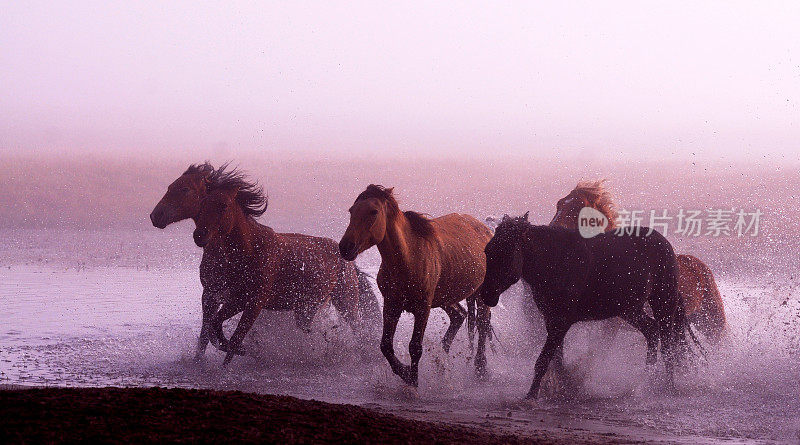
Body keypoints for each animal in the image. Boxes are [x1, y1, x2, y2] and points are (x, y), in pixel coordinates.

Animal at [153, 164, 384, 364]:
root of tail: (346, 259)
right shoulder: (220, 296)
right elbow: (210, 332)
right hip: (305, 308)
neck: (247, 249)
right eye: (202, 205)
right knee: (310, 329)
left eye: (184, 189)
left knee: (358, 330)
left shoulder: (252, 302)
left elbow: (230, 336)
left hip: (346, 303)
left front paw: (232, 359)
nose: (156, 216)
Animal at [338, 184, 494, 386]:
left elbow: (415, 347)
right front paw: (404, 372)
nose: (345, 247)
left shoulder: (422, 308)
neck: (409, 257)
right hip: (445, 297)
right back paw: (441, 362)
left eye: (373, 211)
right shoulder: (391, 305)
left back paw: (480, 368)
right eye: (351, 210)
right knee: (459, 316)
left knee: (482, 324)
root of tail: (486, 230)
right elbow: (385, 345)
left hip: (480, 294)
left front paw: (412, 380)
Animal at [478, 213, 692, 398]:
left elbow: (543, 360)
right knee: (652, 331)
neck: (553, 261)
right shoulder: (551, 320)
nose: (486, 294)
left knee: (667, 345)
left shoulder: (560, 323)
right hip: (629, 309)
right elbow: (557, 361)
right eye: (488, 250)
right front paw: (563, 388)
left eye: (506, 253)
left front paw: (531, 396)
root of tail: (665, 244)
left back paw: (667, 386)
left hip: (663, 302)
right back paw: (644, 380)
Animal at [552, 179, 728, 342]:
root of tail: (701, 266)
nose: (553, 228)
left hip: (711, 324)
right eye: (559, 204)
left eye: (578, 207)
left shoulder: (612, 325)